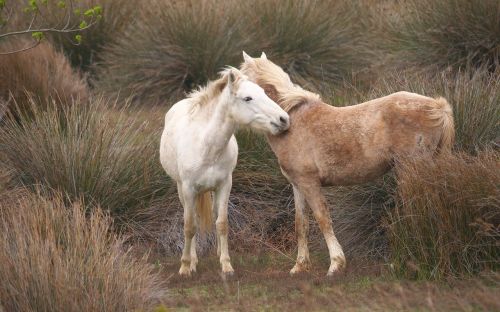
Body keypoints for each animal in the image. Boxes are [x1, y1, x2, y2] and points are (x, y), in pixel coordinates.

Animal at [160, 67, 290, 276]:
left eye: (263, 92)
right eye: (247, 98)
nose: (284, 119)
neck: (206, 145)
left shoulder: (224, 186)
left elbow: (222, 223)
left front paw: (226, 265)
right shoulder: (188, 188)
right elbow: (189, 227)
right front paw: (186, 266)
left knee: (213, 215)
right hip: (182, 189)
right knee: (192, 220)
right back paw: (193, 260)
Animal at [240, 52, 456, 276]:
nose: (281, 120)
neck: (293, 120)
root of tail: (438, 106)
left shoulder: (310, 183)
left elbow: (323, 219)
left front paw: (336, 264)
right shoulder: (297, 185)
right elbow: (301, 224)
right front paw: (300, 266)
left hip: (412, 170)